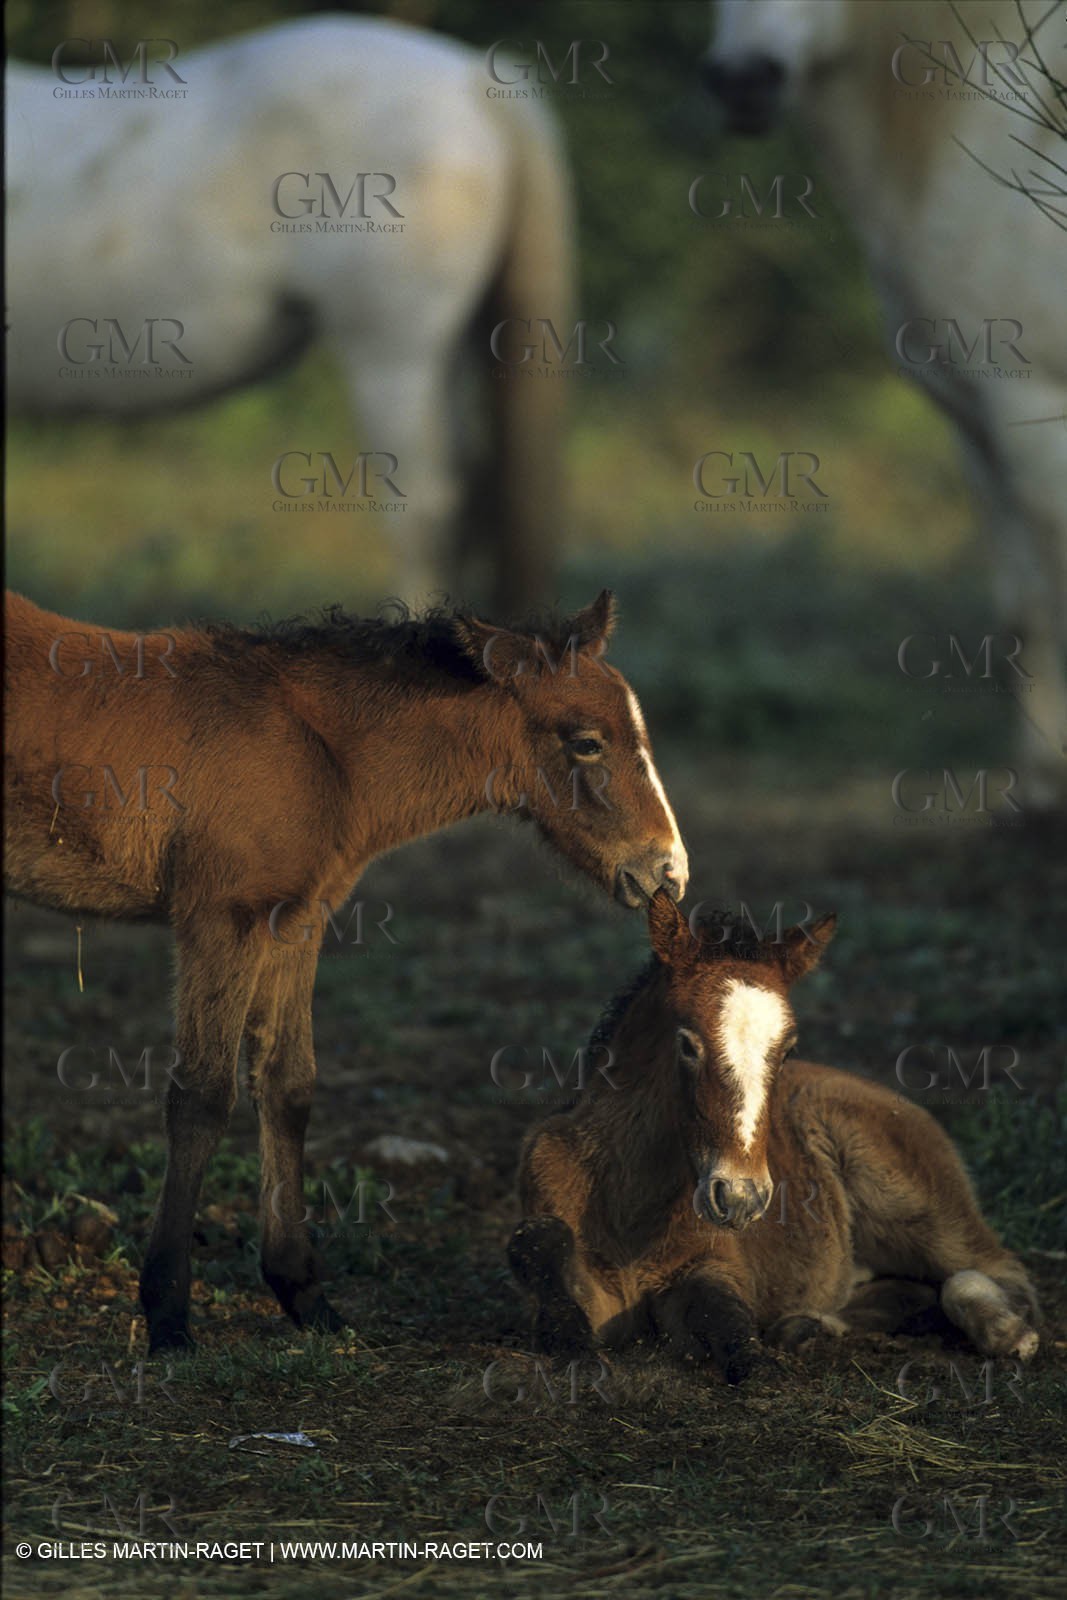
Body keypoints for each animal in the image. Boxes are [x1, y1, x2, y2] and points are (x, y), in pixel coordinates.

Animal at [3, 587, 688, 1353]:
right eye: (586, 741)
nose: (667, 871)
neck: (319, 753)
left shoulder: (293, 920)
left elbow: (287, 1087)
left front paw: (305, 1295)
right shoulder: (221, 918)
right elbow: (201, 1098)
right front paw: (169, 1317)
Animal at [509, 891, 1040, 1383]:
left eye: (786, 1050)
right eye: (687, 1044)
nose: (740, 1199)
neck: (631, 1198)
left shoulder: (712, 1264)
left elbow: (724, 1314)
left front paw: (756, 1361)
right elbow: (540, 1243)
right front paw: (569, 1343)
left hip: (912, 1199)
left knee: (991, 1269)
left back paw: (1006, 1331)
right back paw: (808, 1327)